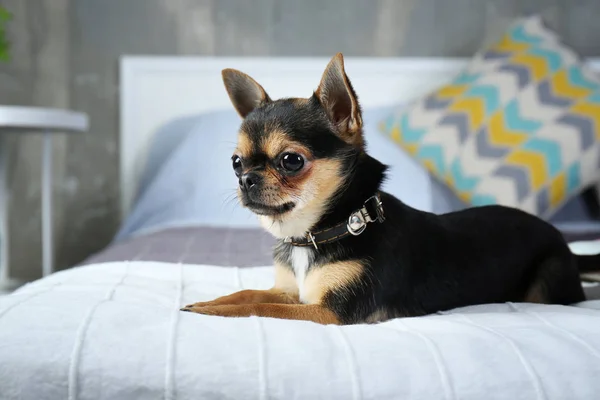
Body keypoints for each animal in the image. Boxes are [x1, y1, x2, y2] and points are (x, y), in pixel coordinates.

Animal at [182, 52, 600, 324]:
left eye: (290, 160)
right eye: (236, 163)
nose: (245, 179)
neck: (322, 231)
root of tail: (564, 244)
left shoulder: (328, 312)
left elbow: (260, 308)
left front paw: (211, 311)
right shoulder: (290, 291)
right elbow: (248, 295)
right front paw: (210, 300)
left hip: (548, 285)